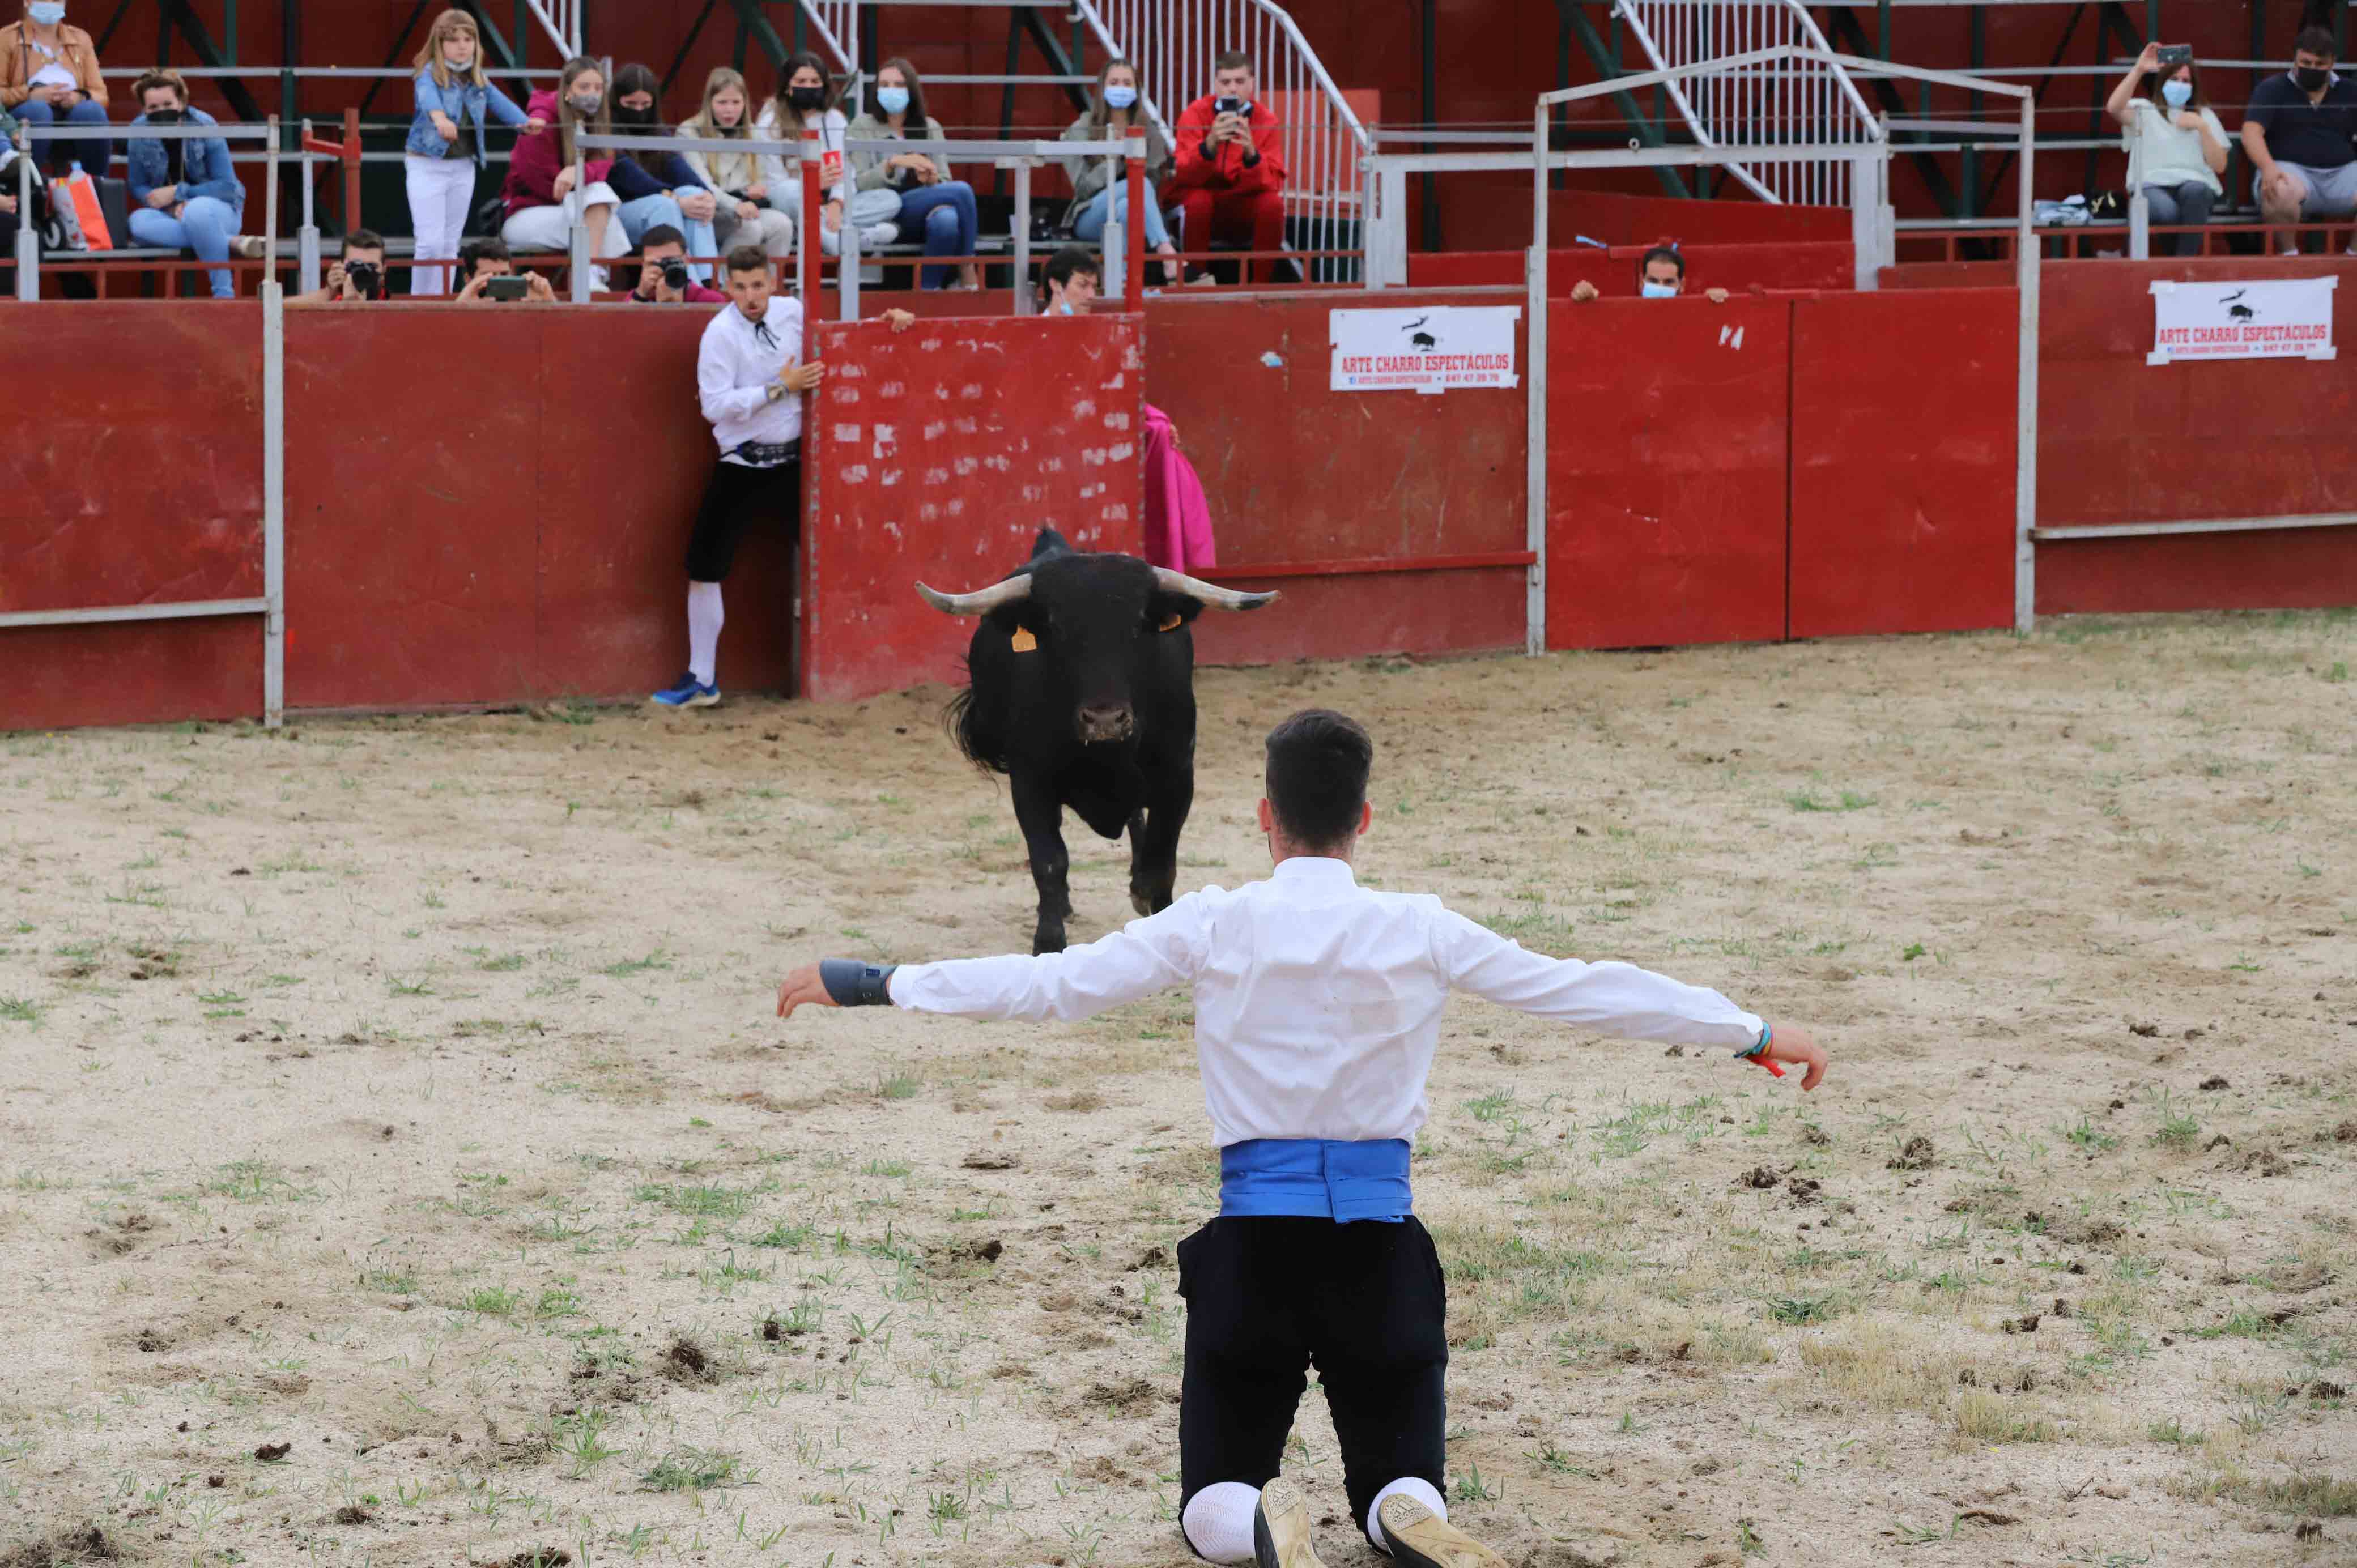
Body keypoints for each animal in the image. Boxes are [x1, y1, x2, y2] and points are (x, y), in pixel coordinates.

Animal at [924, 528, 1291, 952]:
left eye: (1137, 626)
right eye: (1056, 628)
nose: (1105, 720)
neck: (1108, 756)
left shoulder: (1178, 777)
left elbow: (1161, 859)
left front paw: (1154, 905)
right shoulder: (1030, 782)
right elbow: (1049, 860)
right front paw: (1049, 940)